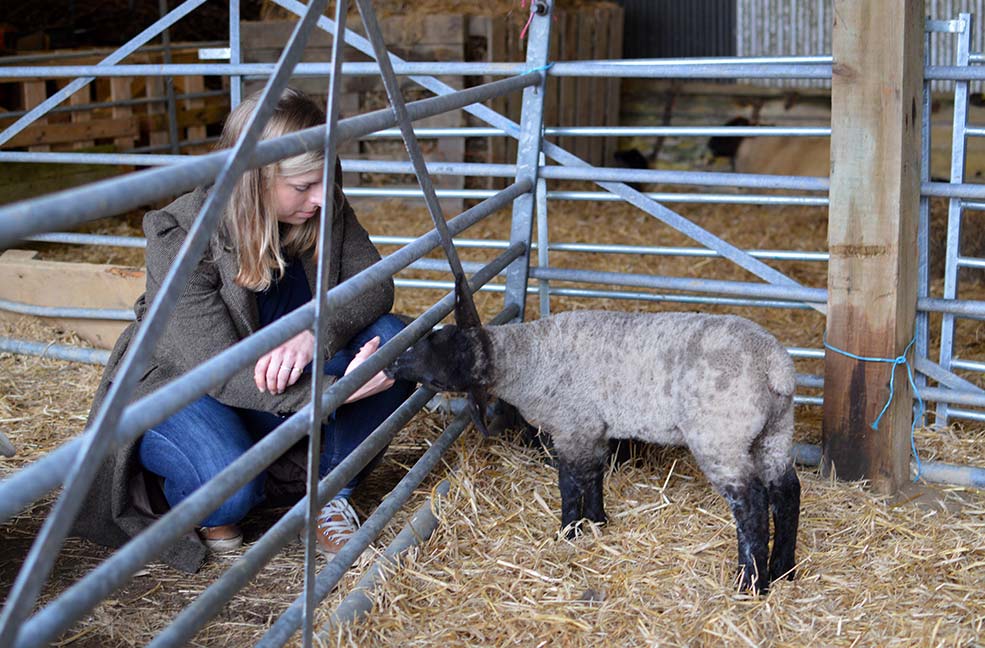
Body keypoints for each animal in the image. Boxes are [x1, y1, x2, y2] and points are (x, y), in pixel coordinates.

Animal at [386, 280, 800, 588]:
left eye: (436, 359)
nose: (392, 365)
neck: (525, 360)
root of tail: (773, 364)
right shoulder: (591, 428)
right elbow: (594, 475)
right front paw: (598, 521)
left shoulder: (570, 426)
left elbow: (569, 483)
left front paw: (568, 532)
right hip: (775, 431)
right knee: (787, 492)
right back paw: (784, 569)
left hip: (720, 435)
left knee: (752, 505)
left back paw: (752, 582)